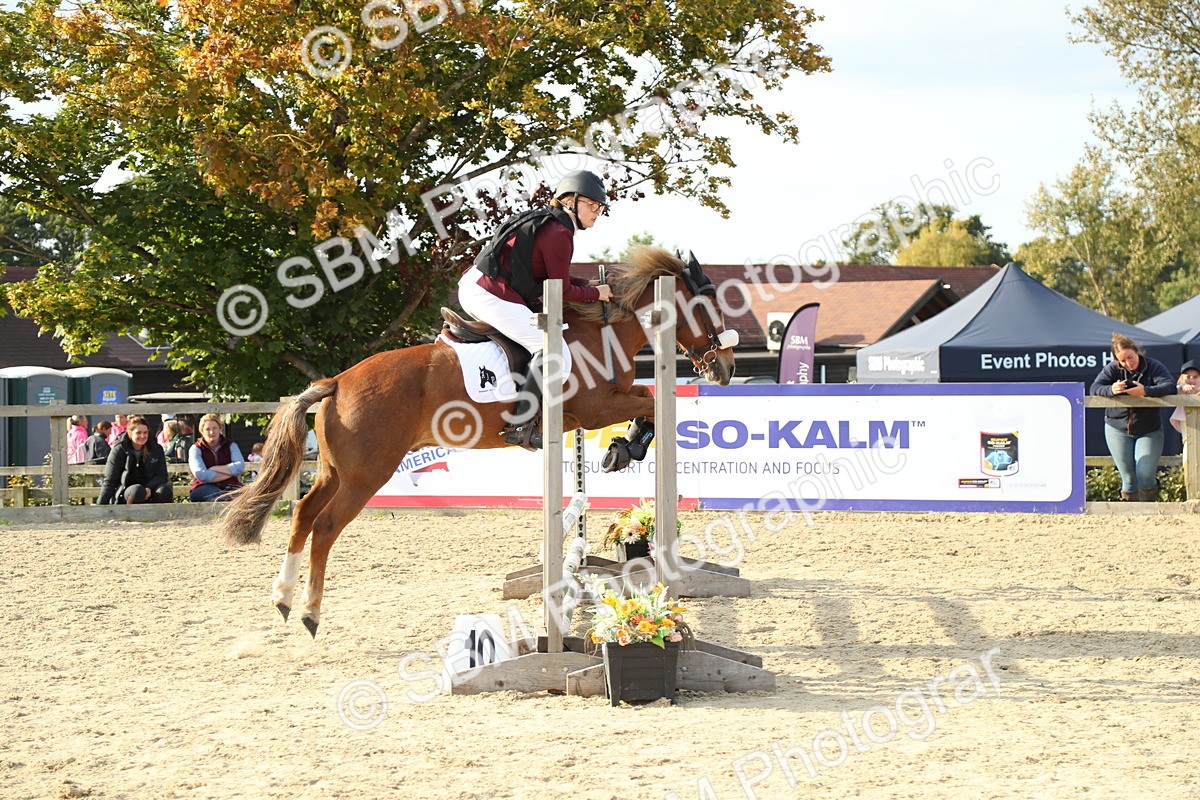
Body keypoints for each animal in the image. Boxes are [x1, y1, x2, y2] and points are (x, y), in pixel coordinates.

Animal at [220, 247, 738, 637]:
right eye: (709, 307)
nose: (726, 369)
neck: (603, 331)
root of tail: (337, 381)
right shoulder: (595, 409)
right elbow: (650, 401)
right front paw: (626, 447)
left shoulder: (590, 413)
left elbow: (646, 402)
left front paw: (620, 450)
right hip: (367, 475)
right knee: (325, 526)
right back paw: (310, 611)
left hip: (334, 471)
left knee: (303, 515)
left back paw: (283, 598)